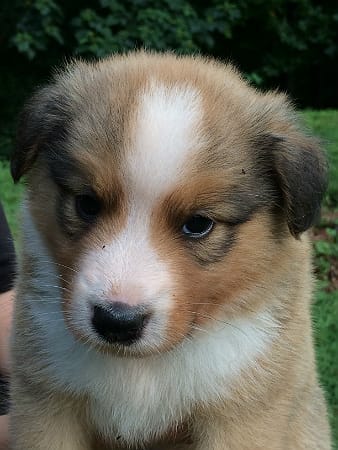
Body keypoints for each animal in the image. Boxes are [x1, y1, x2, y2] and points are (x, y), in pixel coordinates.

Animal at [9, 51, 330, 448]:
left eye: (198, 223)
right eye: (87, 203)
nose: (117, 322)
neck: (142, 367)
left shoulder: (244, 413)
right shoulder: (46, 402)